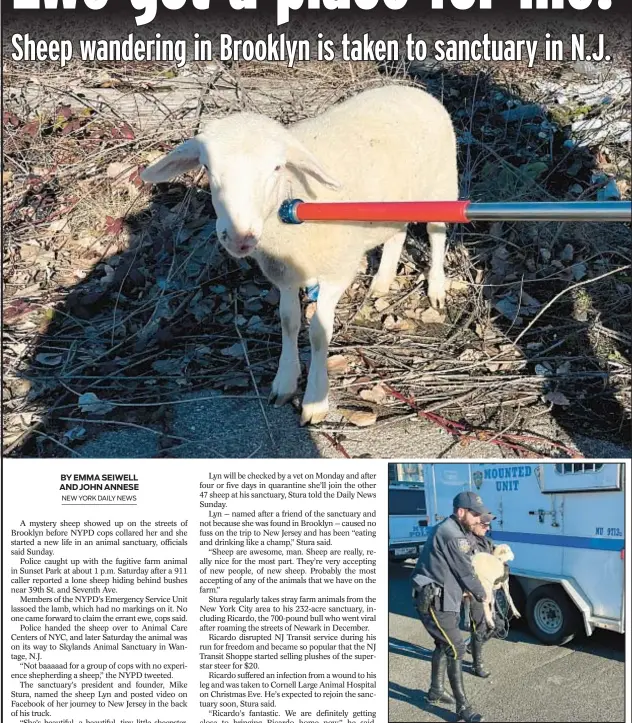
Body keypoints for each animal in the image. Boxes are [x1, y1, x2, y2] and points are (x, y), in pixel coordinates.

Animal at [141, 84, 460, 424]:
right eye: (208, 167)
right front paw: (285, 381)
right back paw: (382, 282)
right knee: (397, 232)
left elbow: (320, 332)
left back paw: (436, 288)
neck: (292, 205)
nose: (239, 237)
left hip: (441, 186)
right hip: (395, 203)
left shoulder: (337, 270)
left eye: (277, 167)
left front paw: (315, 400)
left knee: (436, 234)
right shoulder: (284, 273)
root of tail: (408, 88)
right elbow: (288, 321)